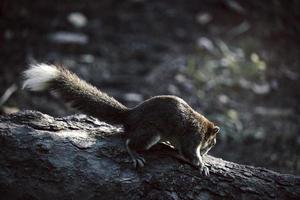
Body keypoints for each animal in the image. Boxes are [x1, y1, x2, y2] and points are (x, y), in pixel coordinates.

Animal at [22, 63, 219, 176]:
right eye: (212, 143)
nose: (207, 151)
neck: (203, 126)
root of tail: (130, 115)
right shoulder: (191, 136)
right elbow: (189, 153)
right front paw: (202, 165)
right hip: (151, 132)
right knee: (129, 142)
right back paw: (135, 155)